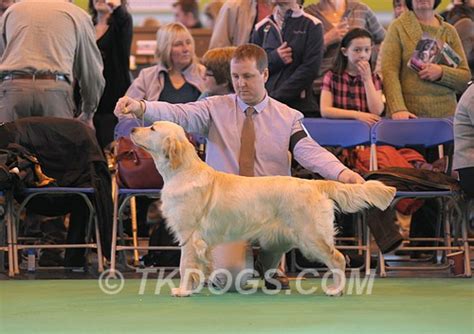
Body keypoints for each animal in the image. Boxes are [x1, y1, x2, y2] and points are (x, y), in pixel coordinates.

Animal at [131, 121, 396, 296]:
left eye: (152, 128)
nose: (132, 129)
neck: (182, 171)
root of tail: (315, 183)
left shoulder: (189, 235)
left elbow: (185, 265)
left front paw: (182, 291)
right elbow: (199, 267)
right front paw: (196, 288)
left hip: (311, 236)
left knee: (339, 259)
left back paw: (335, 289)